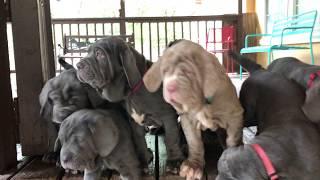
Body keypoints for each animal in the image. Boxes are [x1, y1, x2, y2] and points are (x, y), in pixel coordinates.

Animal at [75, 37, 185, 173]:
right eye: (87, 52)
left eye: (99, 54)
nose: (78, 65)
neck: (132, 92)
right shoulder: (134, 121)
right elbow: (139, 140)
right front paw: (143, 160)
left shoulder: (167, 115)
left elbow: (171, 137)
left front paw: (175, 161)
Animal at [142, 39, 242, 180]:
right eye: (164, 71)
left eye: (188, 73)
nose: (170, 87)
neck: (201, 103)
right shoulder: (188, 120)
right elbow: (195, 143)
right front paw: (194, 166)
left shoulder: (234, 115)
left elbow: (233, 138)